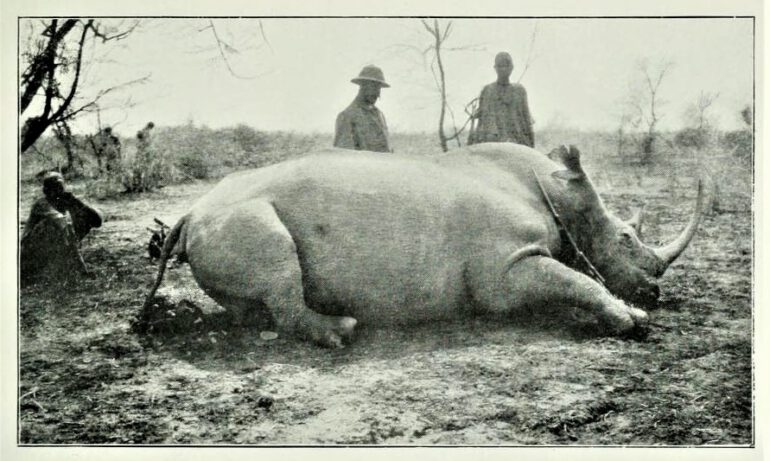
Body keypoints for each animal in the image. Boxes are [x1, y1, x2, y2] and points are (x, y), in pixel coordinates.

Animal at [145, 143, 705, 348]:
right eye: (625, 239)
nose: (653, 293)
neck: (558, 193)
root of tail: (190, 212)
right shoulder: (505, 267)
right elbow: (574, 280)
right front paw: (632, 320)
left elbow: (572, 278)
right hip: (239, 215)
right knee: (280, 272)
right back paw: (344, 331)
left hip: (222, 220)